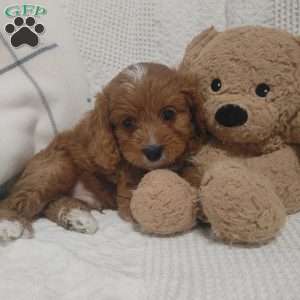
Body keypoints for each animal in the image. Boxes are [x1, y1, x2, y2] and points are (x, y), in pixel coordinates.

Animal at [0, 62, 203, 238]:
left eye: (169, 113)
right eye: (128, 123)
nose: (153, 152)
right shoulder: (127, 185)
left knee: (50, 203)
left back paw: (77, 218)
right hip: (55, 167)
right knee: (15, 199)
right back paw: (9, 223)